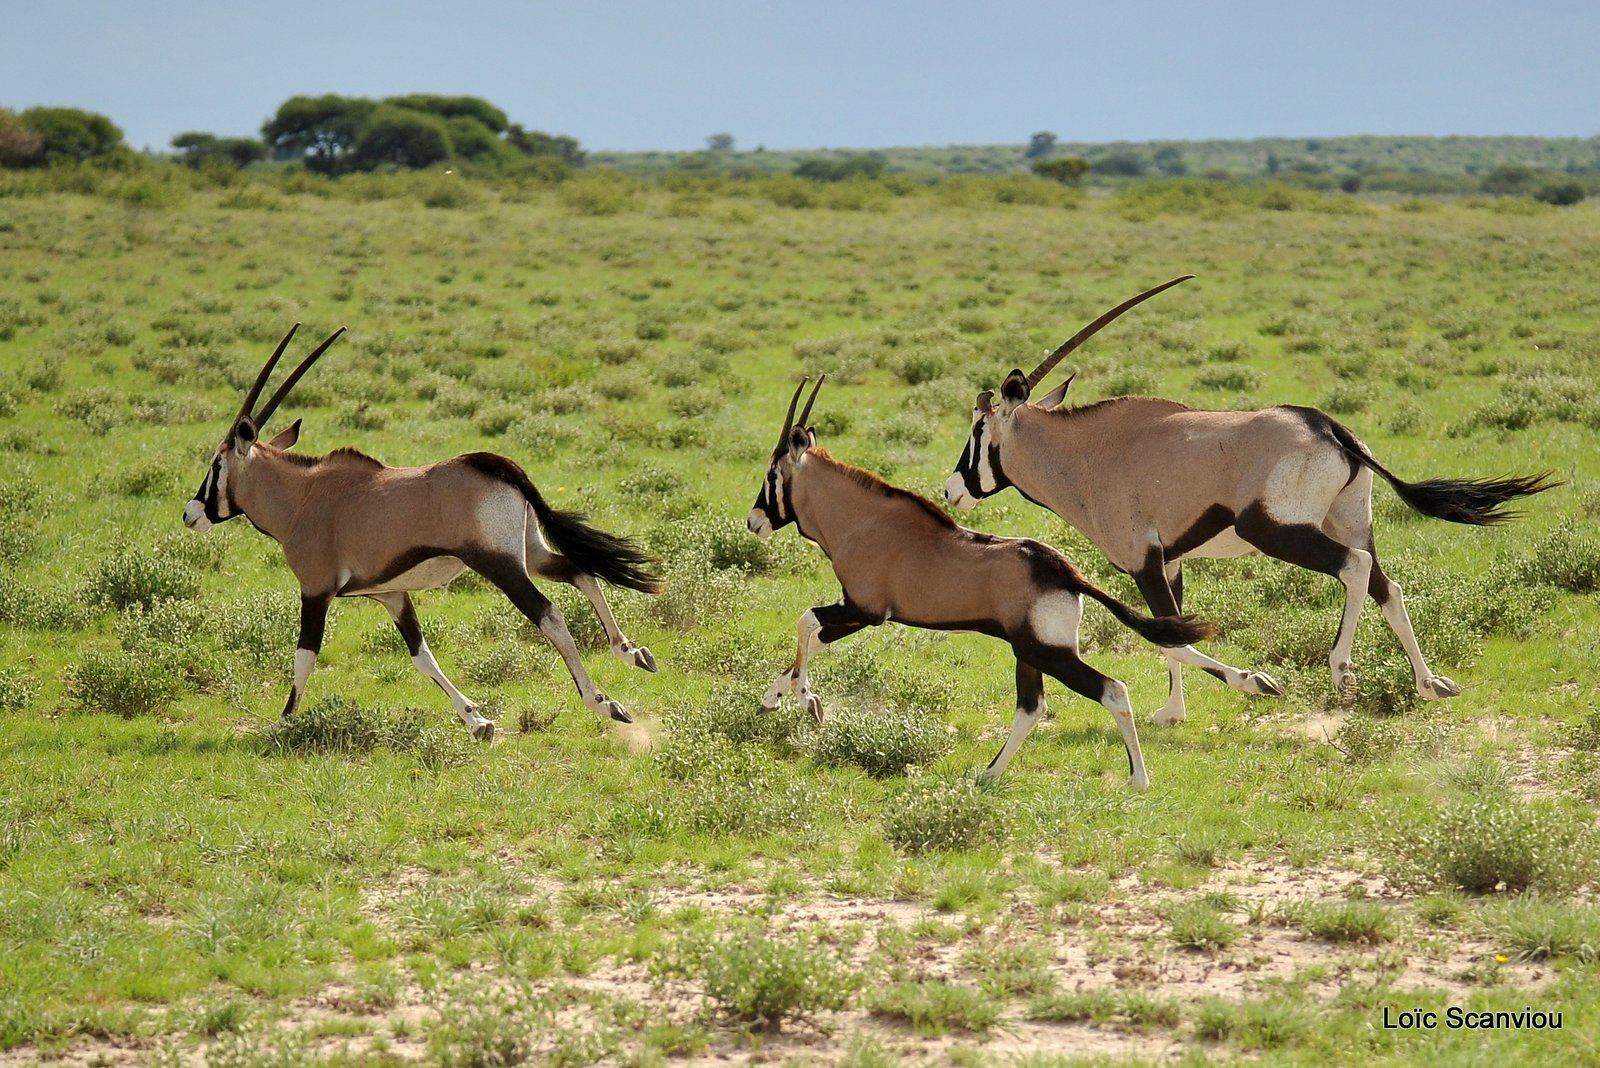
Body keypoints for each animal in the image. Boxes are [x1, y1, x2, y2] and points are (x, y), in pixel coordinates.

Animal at [184, 327, 659, 741]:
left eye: (216, 464)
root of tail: (495, 463)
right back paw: (632, 653)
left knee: (550, 614)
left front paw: (283, 723)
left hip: (498, 564)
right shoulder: (391, 595)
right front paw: (478, 723)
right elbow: (421, 656)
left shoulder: (316, 591)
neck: (302, 499)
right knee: (581, 572)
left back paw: (603, 702)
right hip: (531, 553)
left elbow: (304, 657)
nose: (191, 514)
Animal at [745, 375, 1209, 783]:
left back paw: (1138, 779)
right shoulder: (857, 613)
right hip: (1029, 653)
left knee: (1111, 690)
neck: (863, 520)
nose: (754, 521)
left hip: (1045, 652)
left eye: (772, 475)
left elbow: (806, 622)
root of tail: (1066, 572)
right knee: (1032, 706)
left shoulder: (864, 609)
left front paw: (807, 701)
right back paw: (988, 774)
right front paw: (774, 698)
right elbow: (815, 640)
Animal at [940, 279, 1555, 722]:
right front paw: (1172, 712)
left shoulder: (1143, 562)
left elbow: (1172, 637)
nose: (950, 490)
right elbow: (1174, 631)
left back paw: (1342, 673)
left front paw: (1255, 683)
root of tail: (1328, 427)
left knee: (1354, 568)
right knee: (1387, 584)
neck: (1090, 453)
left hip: (1278, 531)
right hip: (1350, 519)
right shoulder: (1173, 560)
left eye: (977, 430)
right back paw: (1430, 685)